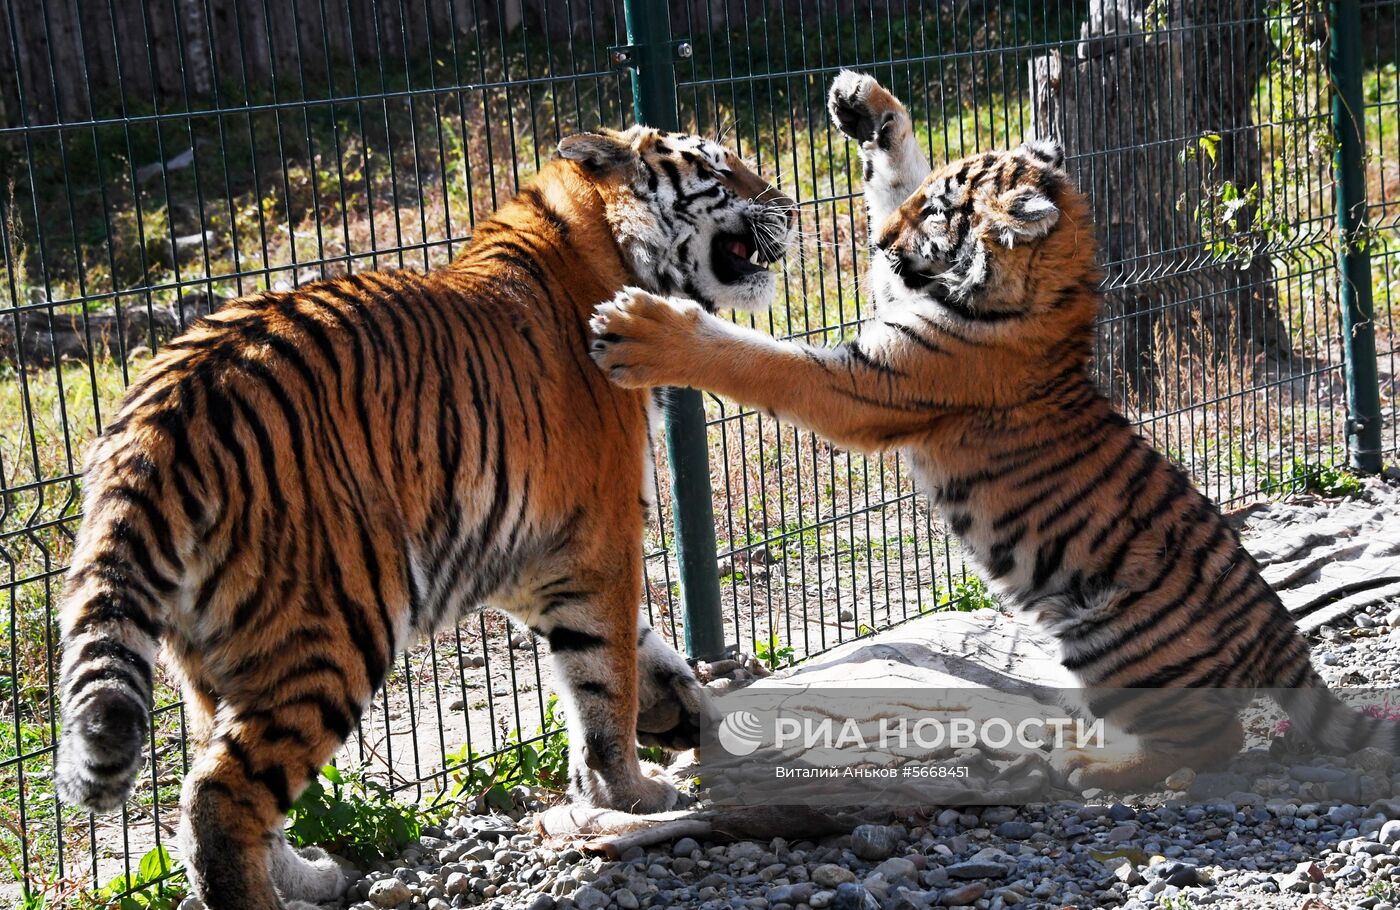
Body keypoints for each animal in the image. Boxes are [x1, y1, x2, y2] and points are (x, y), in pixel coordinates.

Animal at [54, 126, 795, 907]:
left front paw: (679, 706)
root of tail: (156, 417)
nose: (790, 205)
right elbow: (605, 678)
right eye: (721, 168)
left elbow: (631, 652)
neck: (600, 246)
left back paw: (313, 874)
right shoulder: (599, 535)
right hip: (332, 626)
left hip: (214, 659)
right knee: (217, 799)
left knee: (231, 784)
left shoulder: (534, 554)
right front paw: (633, 791)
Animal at [585, 74, 1394, 789]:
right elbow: (893, 171)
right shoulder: (895, 300)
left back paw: (1092, 763)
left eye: (938, 215)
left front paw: (643, 329)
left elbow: (759, 360)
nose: (877, 241)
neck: (1052, 286)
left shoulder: (866, 384)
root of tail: (1282, 636)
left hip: (1113, 641)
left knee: (1214, 741)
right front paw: (864, 102)